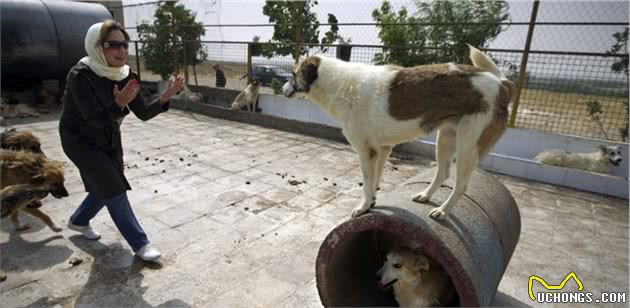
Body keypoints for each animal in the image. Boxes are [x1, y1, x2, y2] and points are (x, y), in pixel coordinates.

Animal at [282, 45, 512, 219]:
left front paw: (363, 207)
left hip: (468, 146)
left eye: (293, 74)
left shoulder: (366, 151)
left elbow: (367, 182)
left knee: (461, 185)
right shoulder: (383, 149)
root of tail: (502, 84)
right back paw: (425, 196)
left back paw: (442, 211)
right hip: (446, 139)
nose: (283, 89)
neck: (340, 83)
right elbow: (374, 181)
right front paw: (372, 203)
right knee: (443, 173)